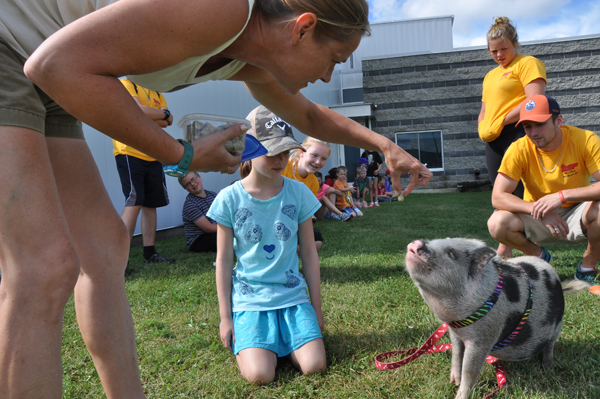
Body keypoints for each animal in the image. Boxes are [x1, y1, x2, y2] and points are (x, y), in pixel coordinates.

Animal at [406, 239, 588, 398]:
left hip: (558, 325)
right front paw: (453, 382)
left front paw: (460, 395)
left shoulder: (484, 337)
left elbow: (470, 370)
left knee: (550, 345)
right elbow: (456, 354)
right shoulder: (455, 332)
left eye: (451, 254)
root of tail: (559, 283)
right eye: (432, 242)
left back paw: (548, 367)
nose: (416, 243)